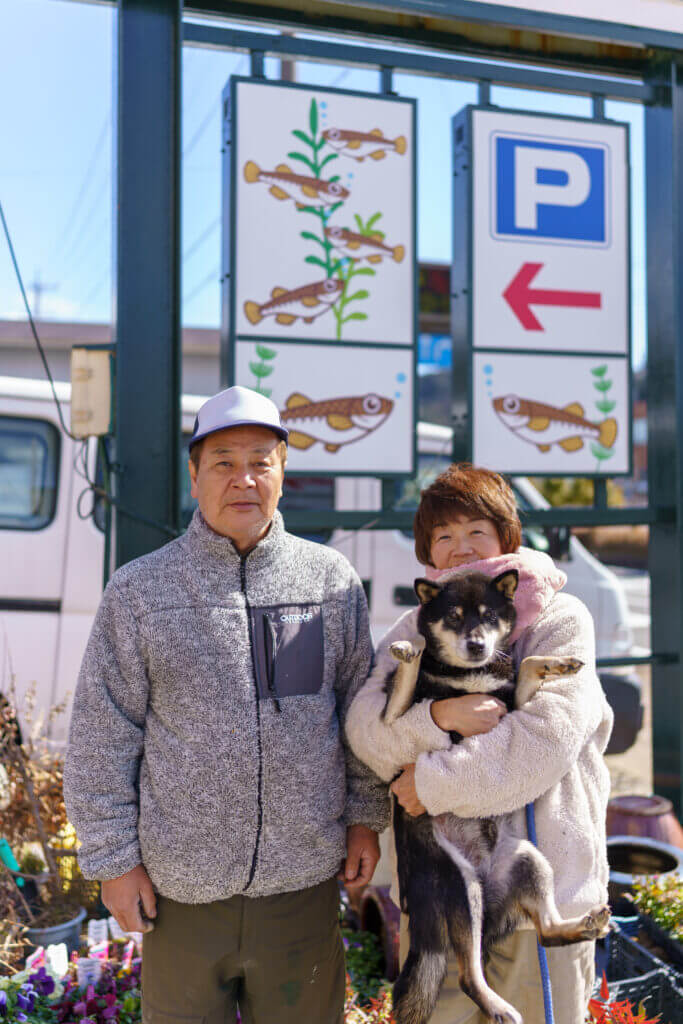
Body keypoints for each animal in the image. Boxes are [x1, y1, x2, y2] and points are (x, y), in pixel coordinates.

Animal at [382, 569, 610, 1024]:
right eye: (453, 617)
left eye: (488, 617)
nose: (477, 646)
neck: (468, 674)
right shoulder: (394, 725)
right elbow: (404, 686)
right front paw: (409, 653)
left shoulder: (510, 706)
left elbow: (526, 668)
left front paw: (557, 663)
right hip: (460, 889)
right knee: (469, 975)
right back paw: (498, 1005)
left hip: (526, 860)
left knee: (545, 933)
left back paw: (582, 926)